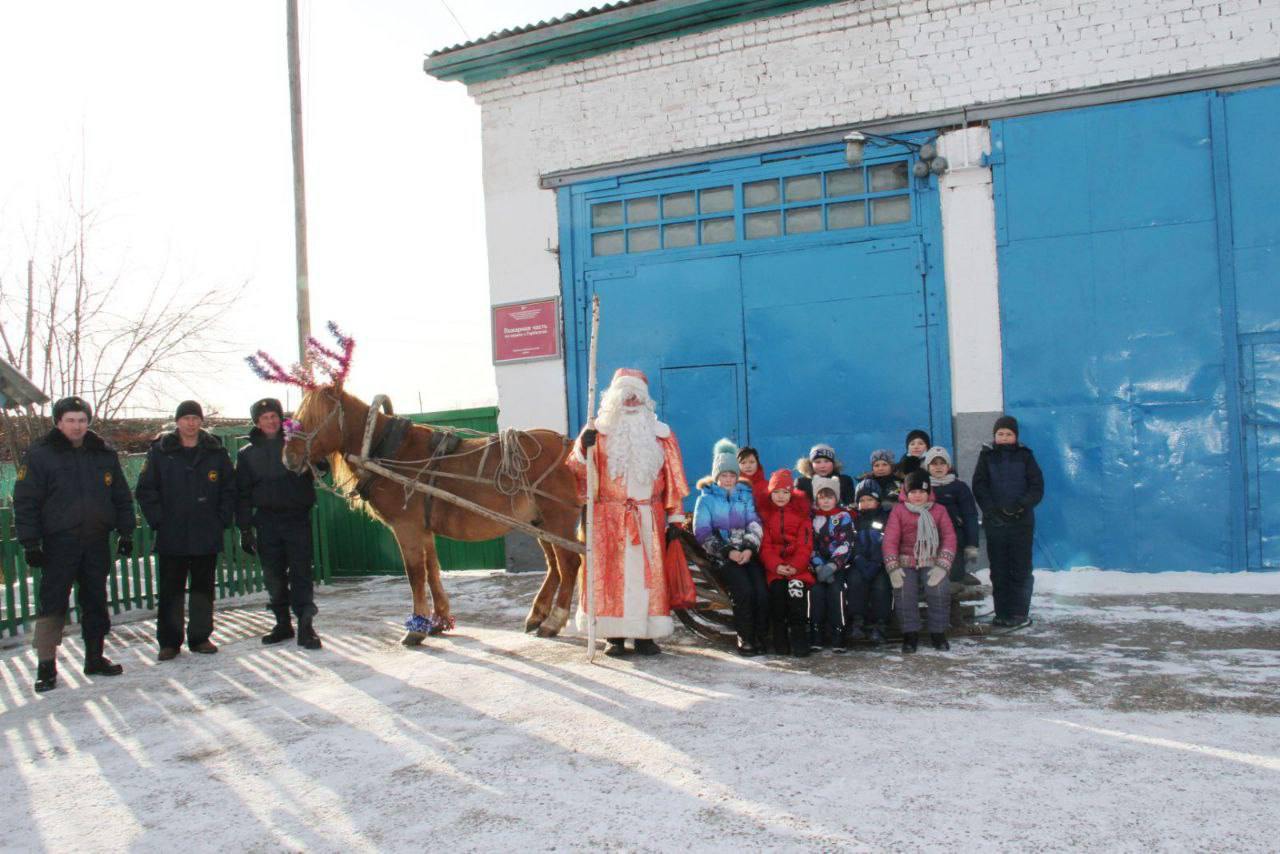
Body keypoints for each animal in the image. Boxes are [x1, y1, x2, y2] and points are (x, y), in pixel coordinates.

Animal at [282, 386, 583, 640]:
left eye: (312, 418)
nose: (288, 458)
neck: (387, 451)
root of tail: (570, 447)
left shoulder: (406, 527)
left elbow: (415, 574)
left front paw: (416, 629)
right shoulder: (423, 529)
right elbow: (432, 571)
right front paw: (439, 621)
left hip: (557, 520)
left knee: (570, 564)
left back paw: (553, 621)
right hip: (540, 522)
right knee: (554, 566)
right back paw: (538, 615)